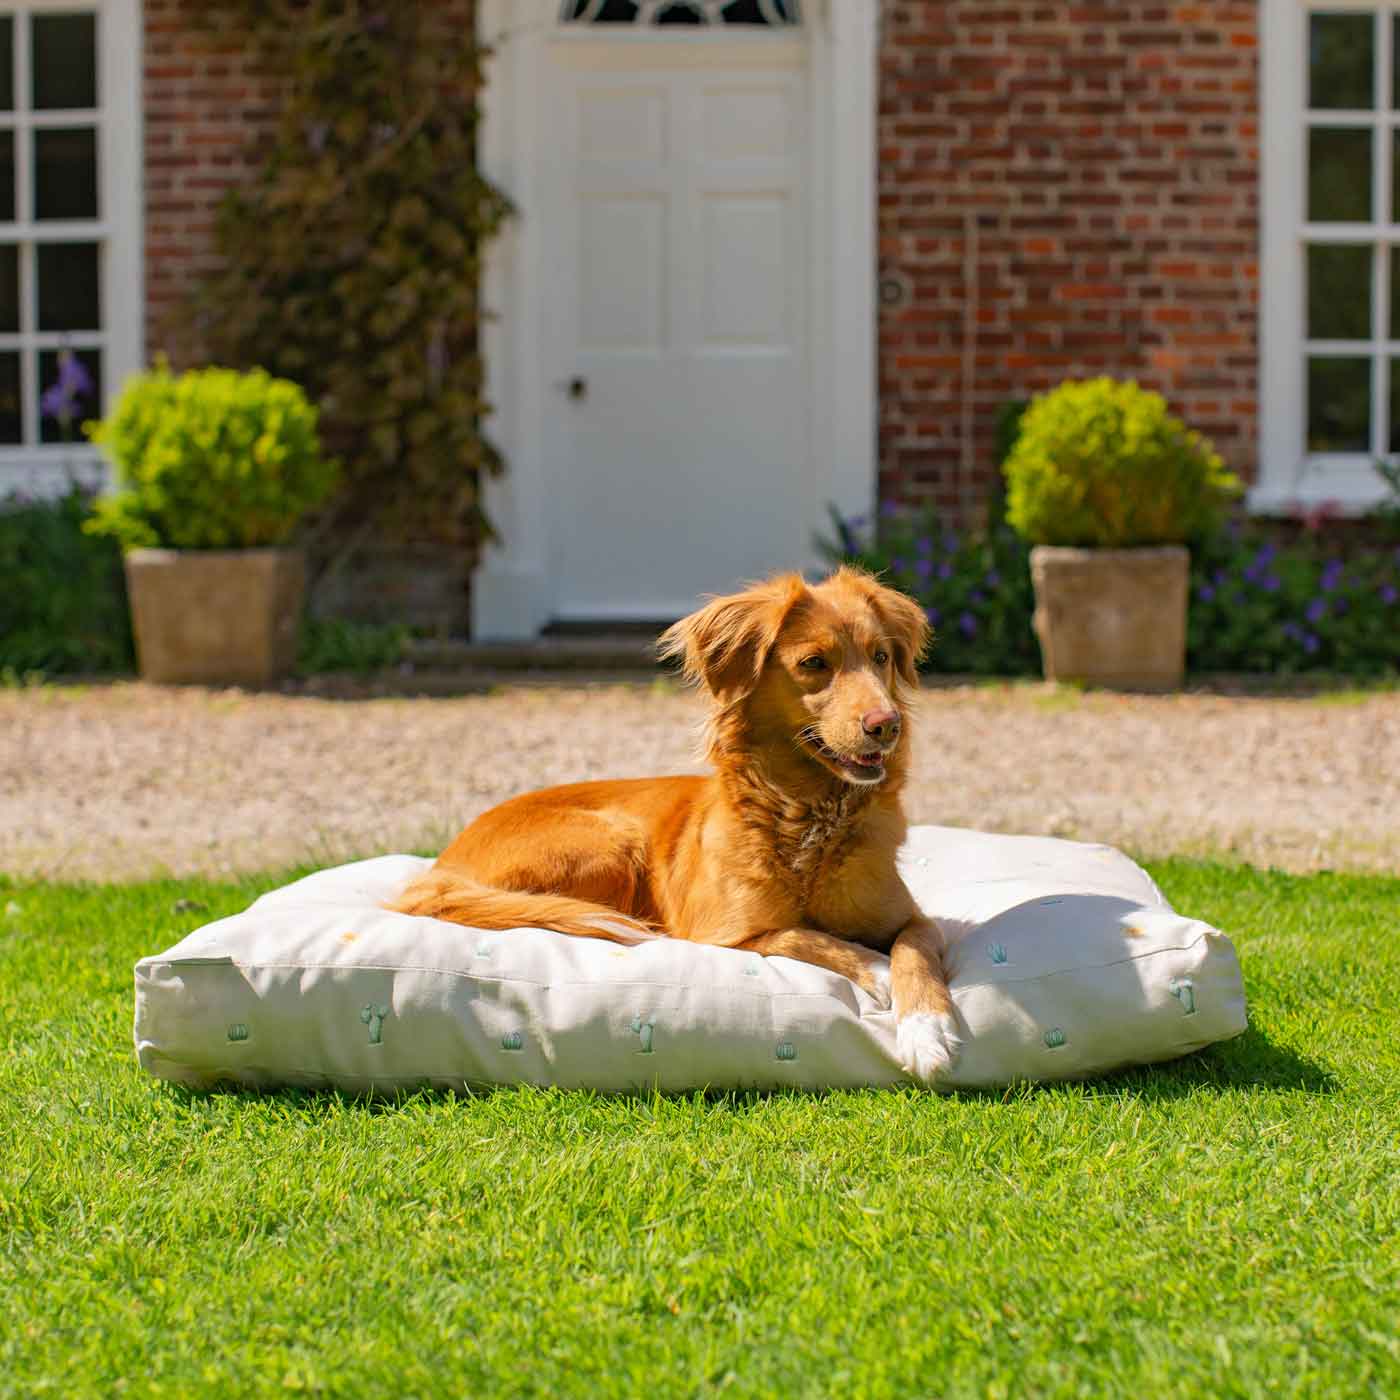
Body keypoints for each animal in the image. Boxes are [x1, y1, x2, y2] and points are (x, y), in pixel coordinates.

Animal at [394, 562, 963, 1075]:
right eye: (814, 662)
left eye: (881, 657)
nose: (887, 725)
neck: (811, 817)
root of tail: (441, 868)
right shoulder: (723, 934)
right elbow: (809, 937)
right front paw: (878, 971)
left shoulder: (915, 918)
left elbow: (913, 951)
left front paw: (927, 1030)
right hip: (610, 842)